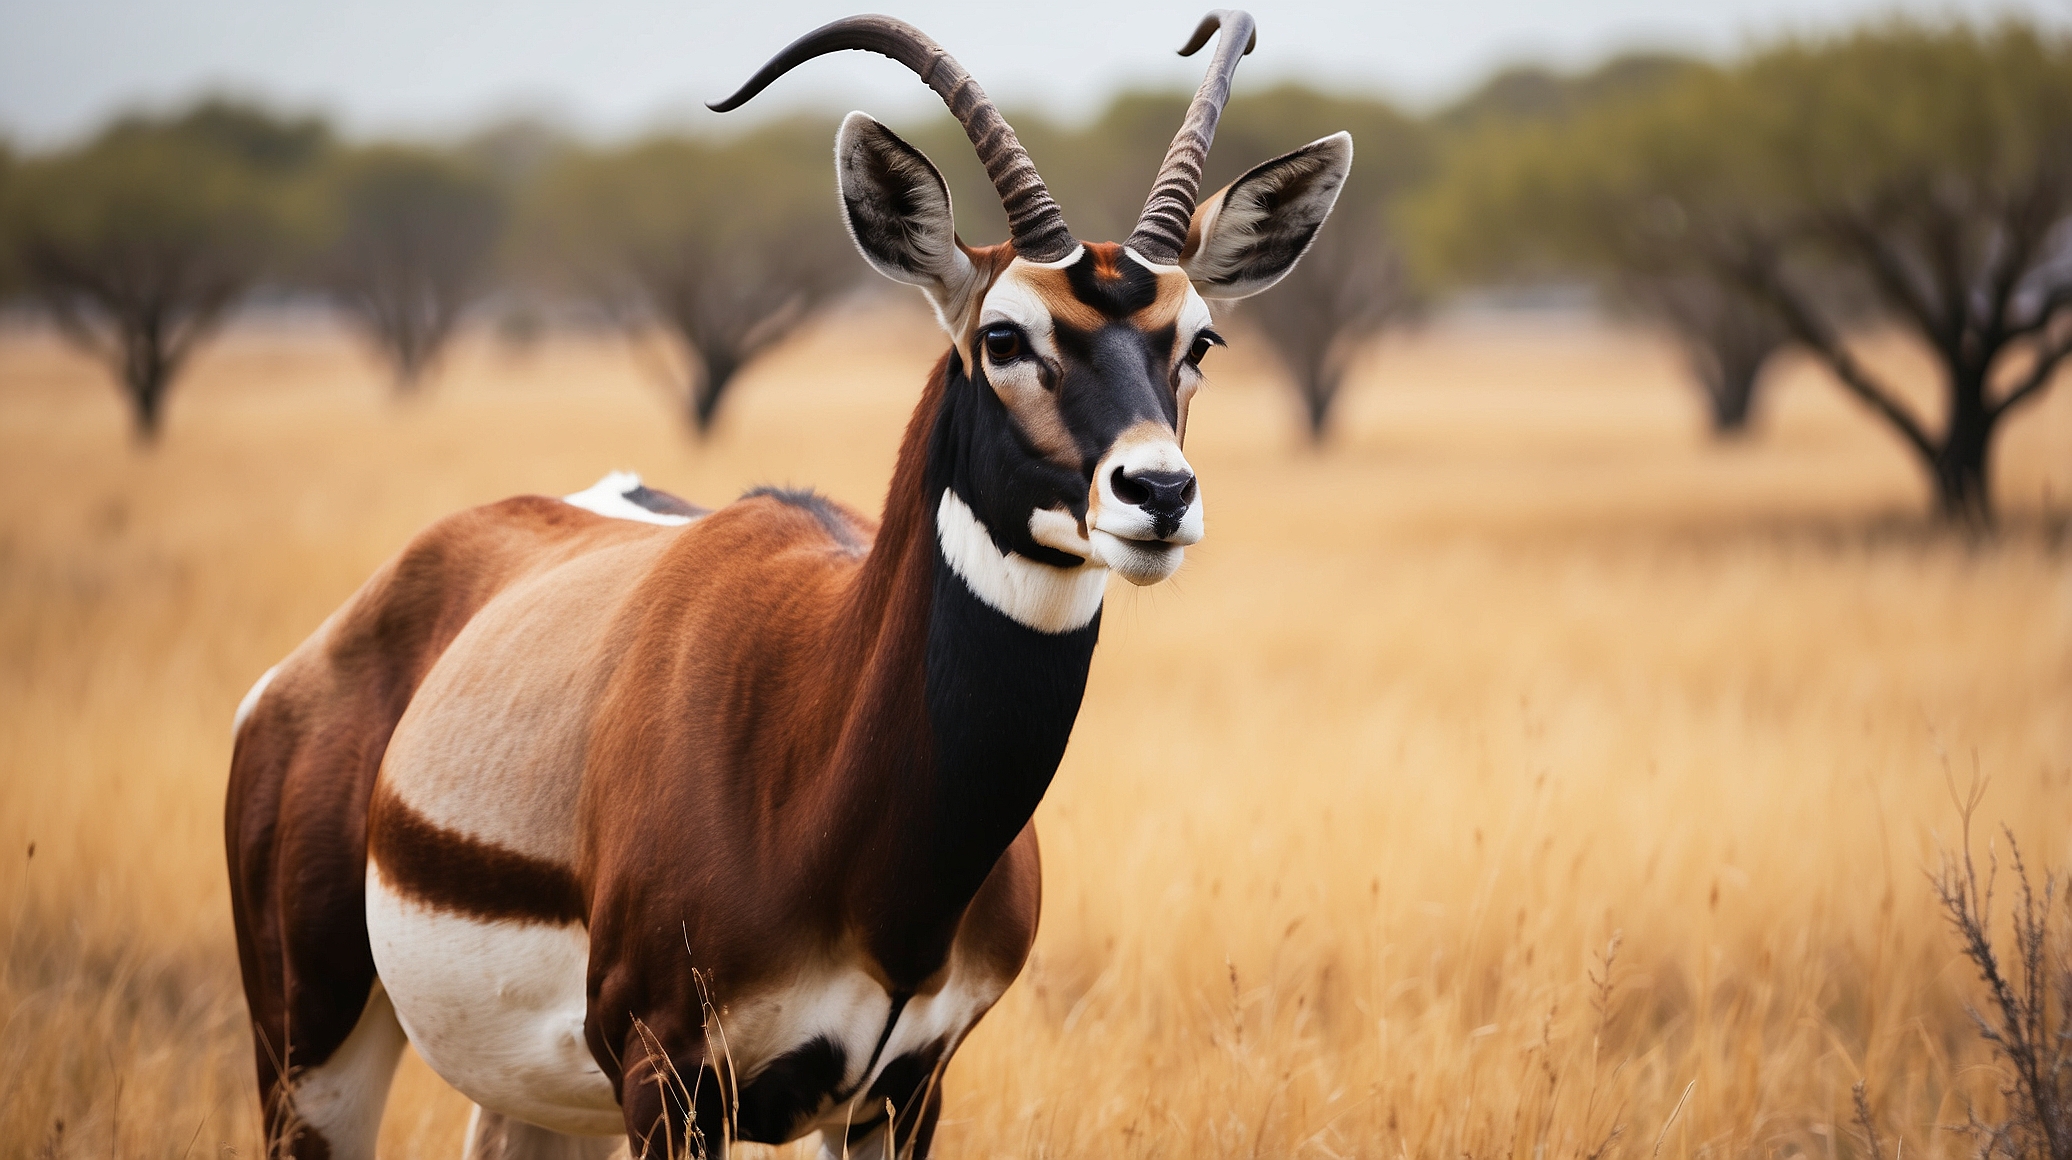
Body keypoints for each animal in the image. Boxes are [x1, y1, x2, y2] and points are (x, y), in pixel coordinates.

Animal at [226, 11, 1350, 1160]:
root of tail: (312, 664)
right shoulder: (668, 1076)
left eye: (1198, 338)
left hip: (535, 1104)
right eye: (1003, 336)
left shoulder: (904, 1090)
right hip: (309, 1052)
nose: (1156, 491)